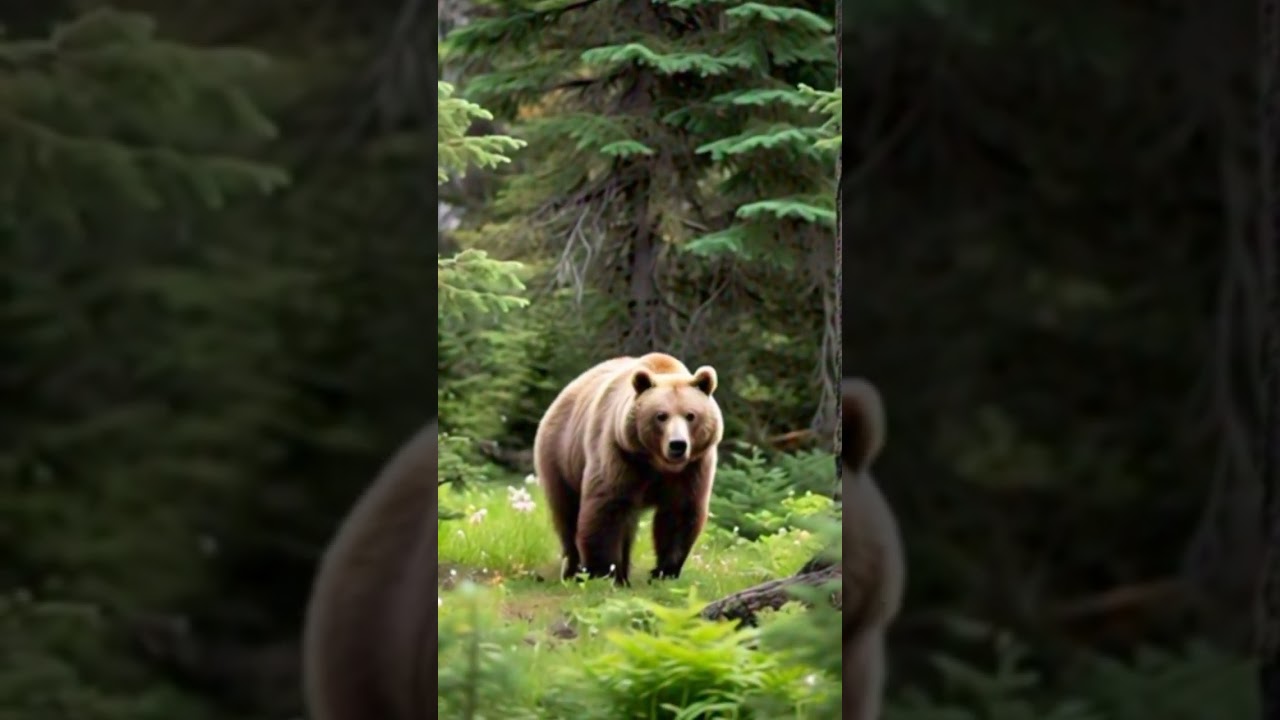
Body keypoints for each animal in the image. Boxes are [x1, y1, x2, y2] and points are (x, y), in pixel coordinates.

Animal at [533, 352, 724, 586]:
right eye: (661, 415)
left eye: (690, 415)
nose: (677, 445)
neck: (657, 464)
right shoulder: (620, 454)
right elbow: (606, 508)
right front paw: (603, 572)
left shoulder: (692, 467)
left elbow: (679, 512)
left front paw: (665, 572)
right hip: (561, 455)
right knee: (567, 512)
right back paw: (574, 571)